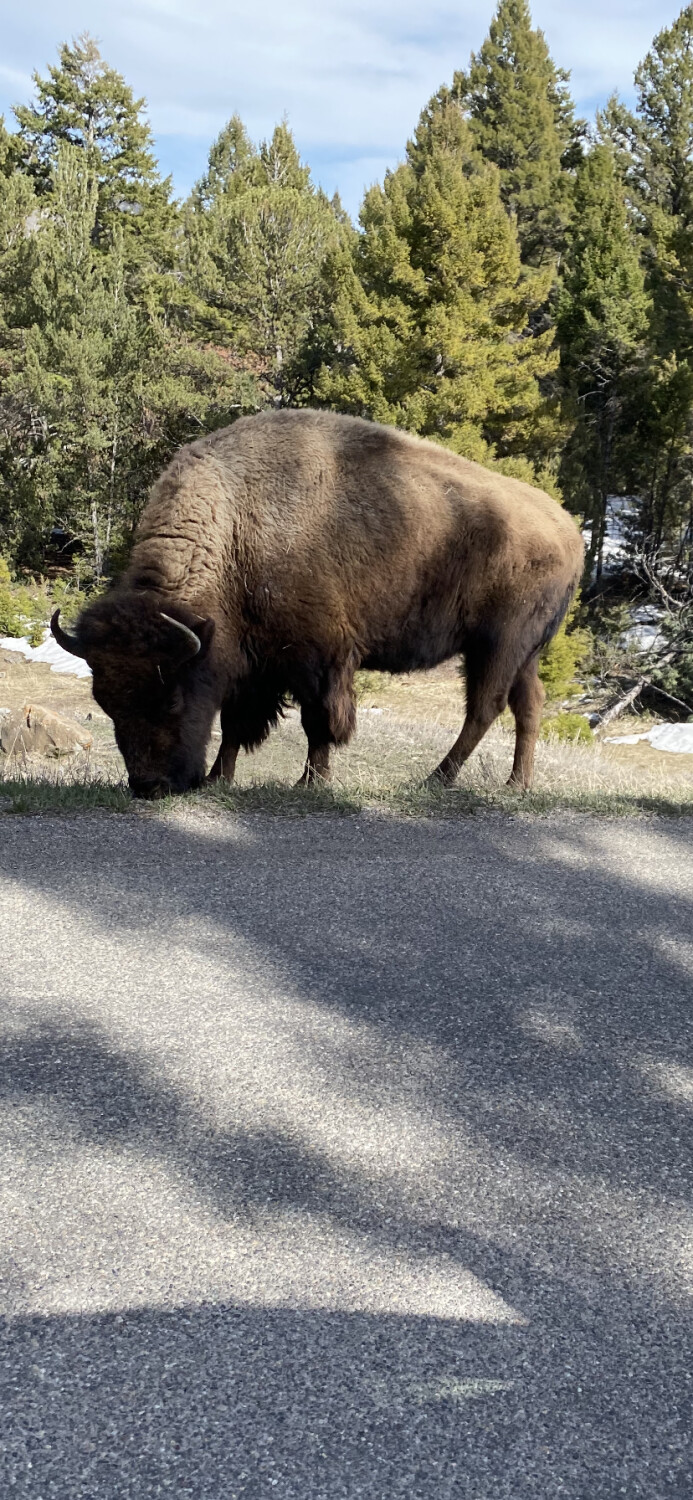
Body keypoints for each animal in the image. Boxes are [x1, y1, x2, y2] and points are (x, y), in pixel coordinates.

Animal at [51, 409, 584, 798]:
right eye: (105, 702)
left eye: (172, 696)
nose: (149, 786)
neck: (238, 530)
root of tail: (570, 531)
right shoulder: (254, 663)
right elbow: (236, 724)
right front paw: (220, 778)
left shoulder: (317, 658)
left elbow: (318, 722)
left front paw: (310, 782)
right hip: (525, 653)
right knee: (528, 706)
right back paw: (517, 786)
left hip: (496, 643)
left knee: (484, 707)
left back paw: (436, 779)